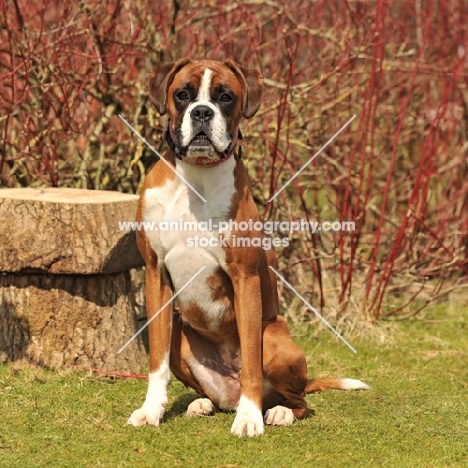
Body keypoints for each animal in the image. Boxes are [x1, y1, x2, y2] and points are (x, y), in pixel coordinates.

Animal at [128, 57, 370, 436]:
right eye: (182, 94)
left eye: (225, 97)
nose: (202, 112)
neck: (196, 177)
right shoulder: (155, 274)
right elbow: (156, 361)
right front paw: (151, 411)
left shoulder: (245, 278)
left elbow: (252, 368)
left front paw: (249, 418)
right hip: (181, 340)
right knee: (210, 389)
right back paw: (203, 404)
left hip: (273, 341)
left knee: (298, 398)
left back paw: (277, 412)